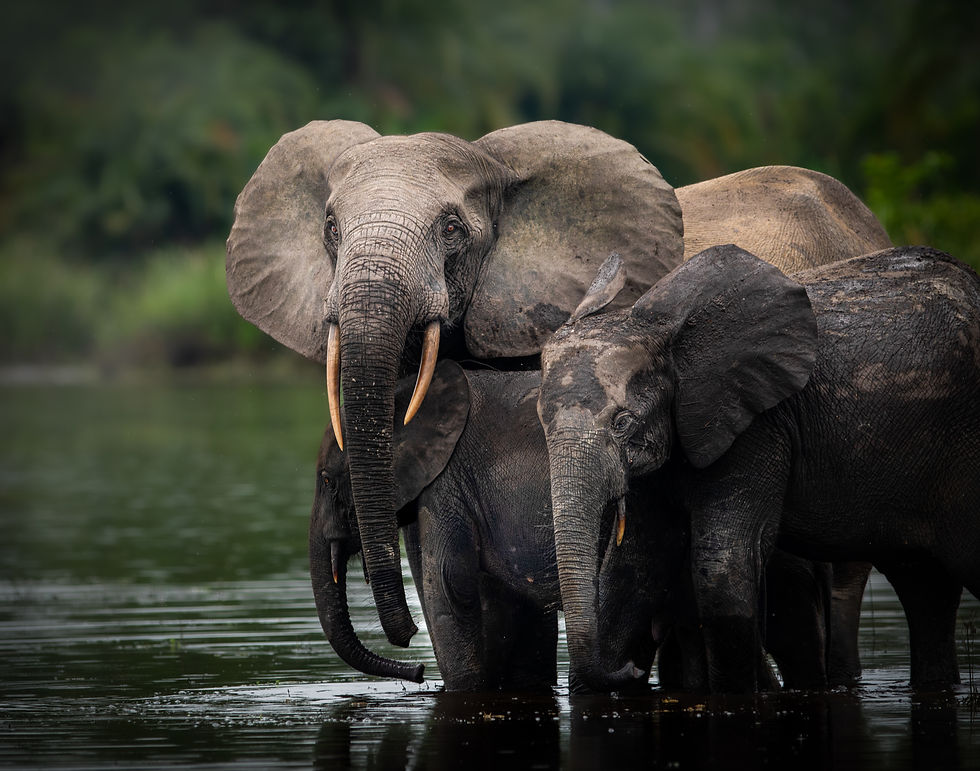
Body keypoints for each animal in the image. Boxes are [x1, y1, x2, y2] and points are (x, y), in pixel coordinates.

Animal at [537, 244, 980, 693]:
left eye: (622, 422)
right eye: (540, 421)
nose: (635, 671)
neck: (661, 331)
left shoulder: (758, 423)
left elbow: (722, 569)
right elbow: (632, 572)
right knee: (924, 585)